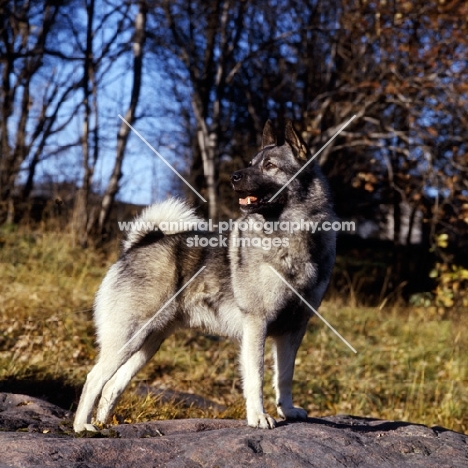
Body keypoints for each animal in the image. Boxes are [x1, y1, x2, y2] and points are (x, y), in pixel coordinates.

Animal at [73, 119, 336, 432]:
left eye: (270, 165)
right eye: (251, 163)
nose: (234, 176)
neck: (291, 236)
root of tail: (139, 245)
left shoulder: (292, 331)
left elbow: (284, 376)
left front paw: (288, 410)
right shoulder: (256, 325)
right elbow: (257, 377)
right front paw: (258, 417)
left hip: (149, 343)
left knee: (112, 385)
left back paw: (104, 425)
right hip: (128, 337)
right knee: (93, 378)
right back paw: (82, 426)